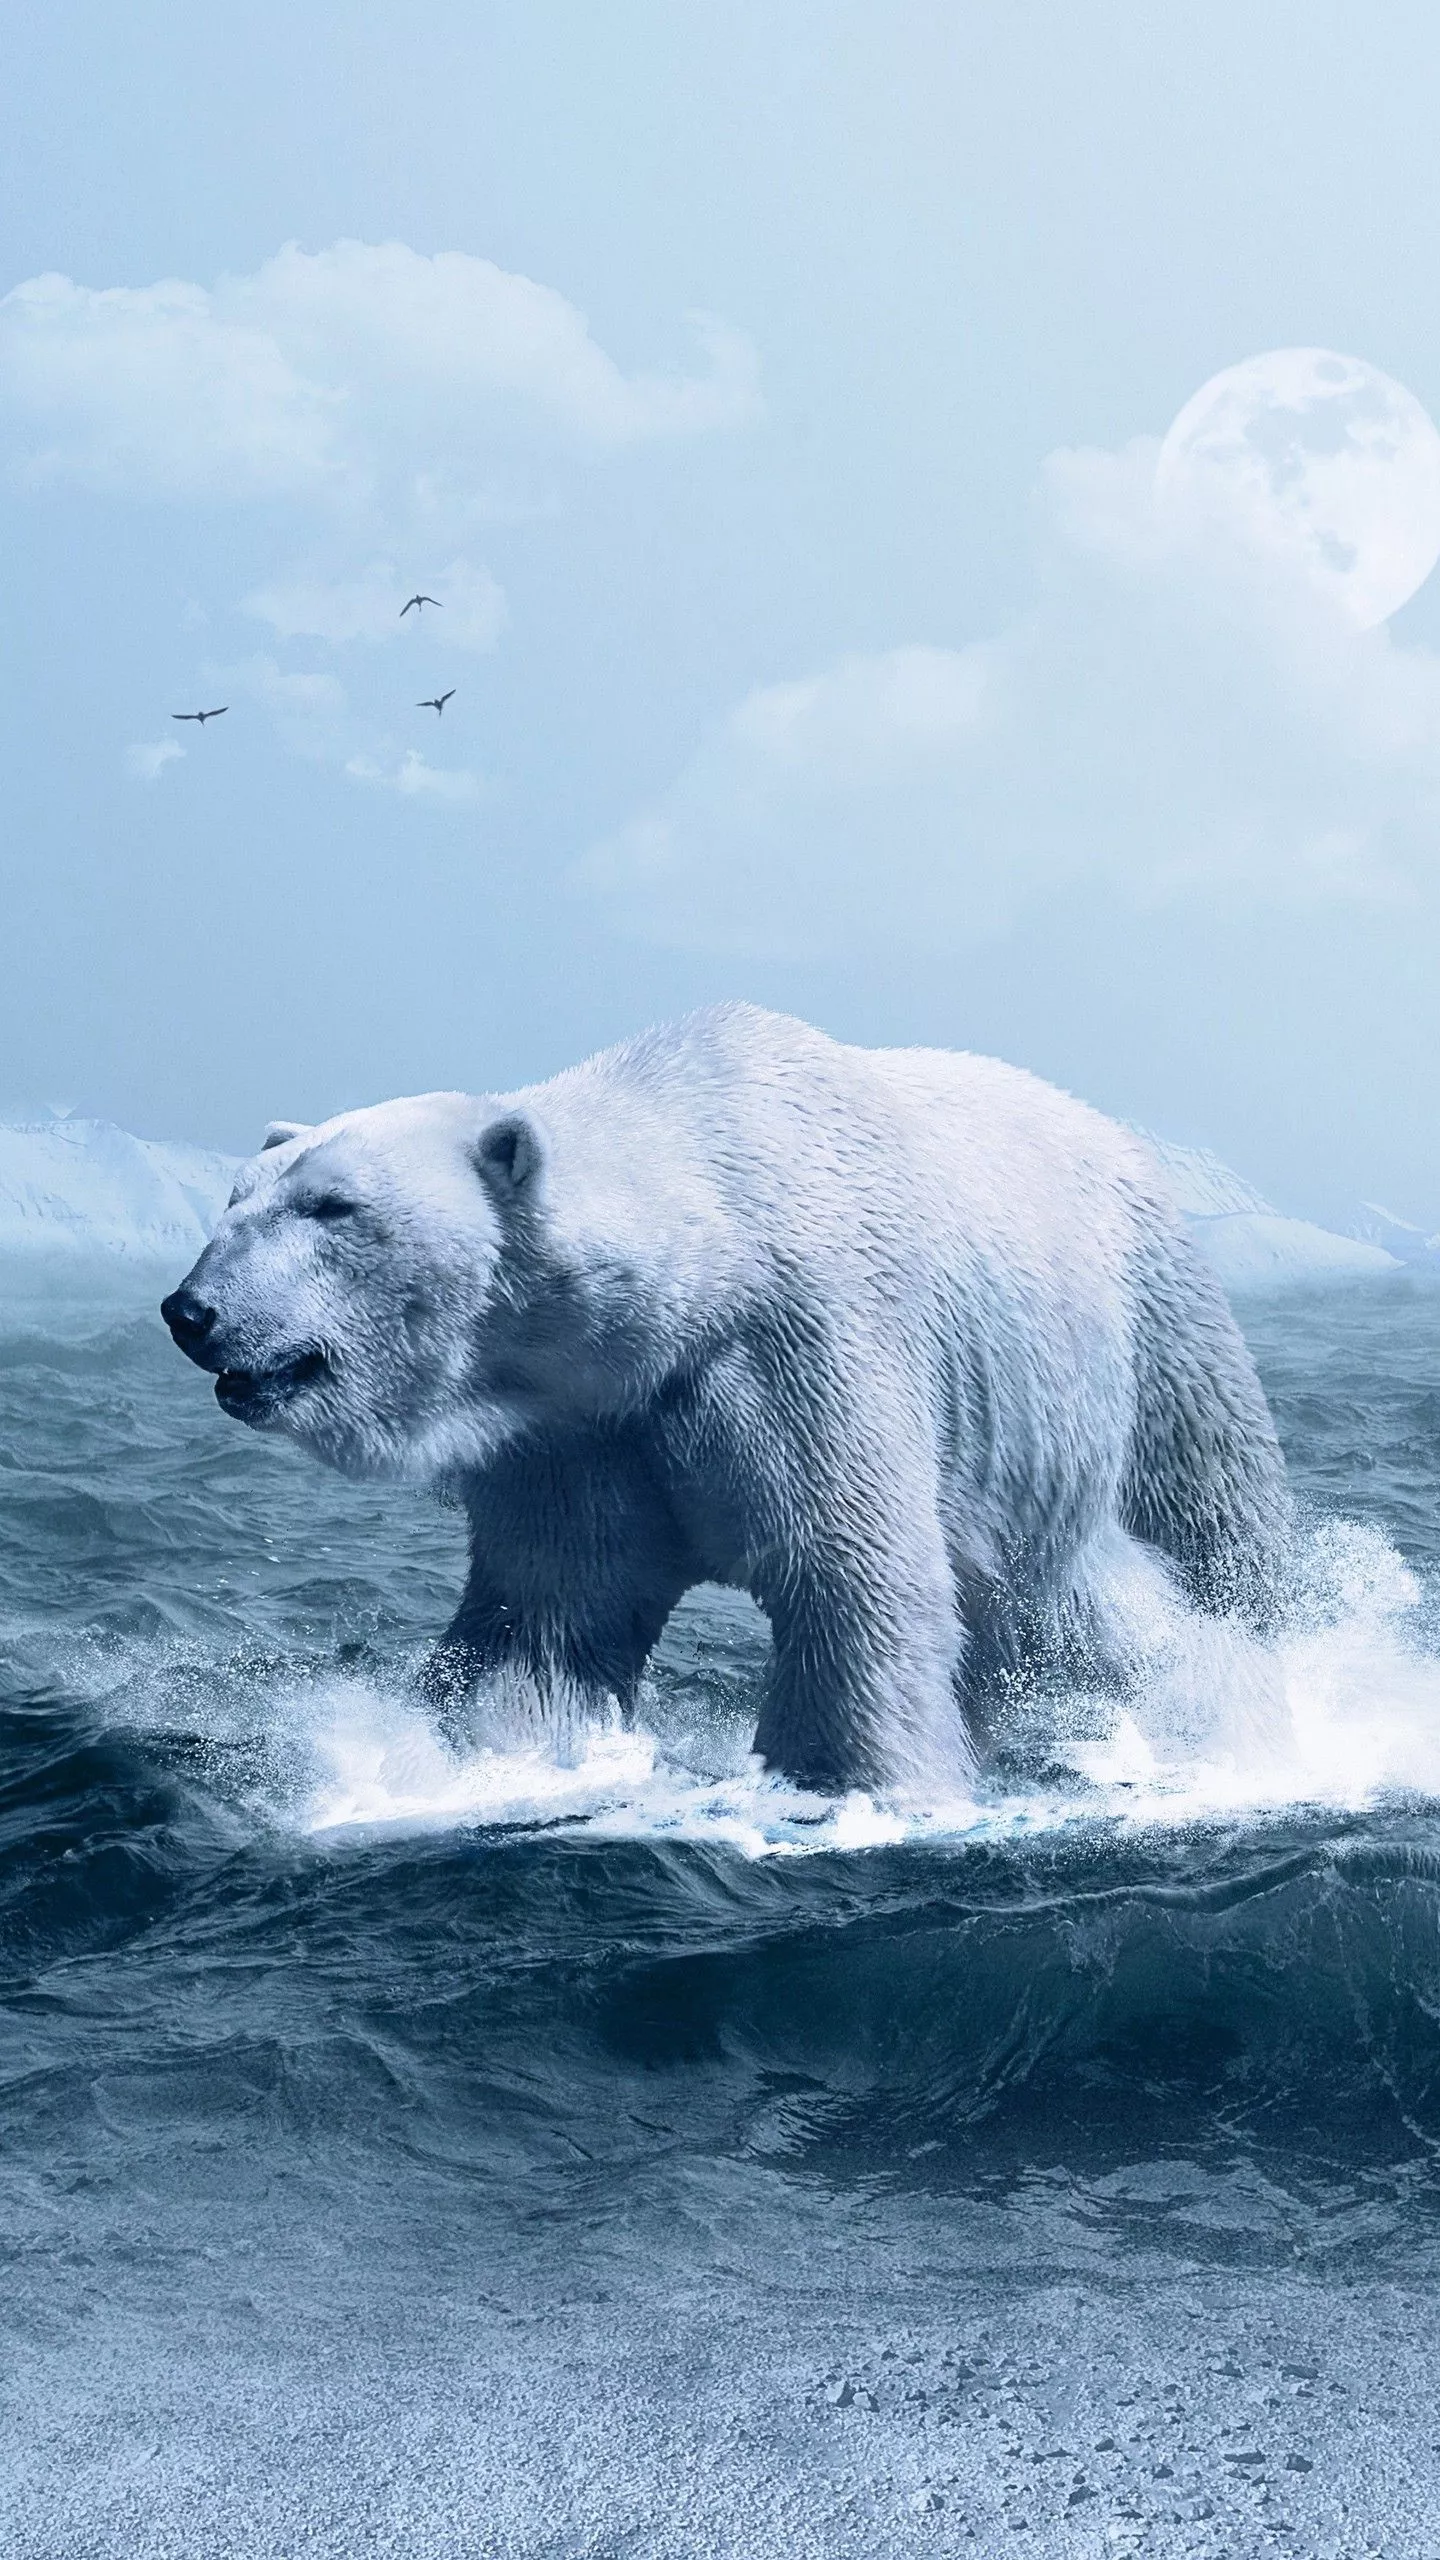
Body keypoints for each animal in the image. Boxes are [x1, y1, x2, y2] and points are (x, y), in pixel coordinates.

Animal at [161, 1004, 1289, 1795]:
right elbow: (549, 1611)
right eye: (236, 1198)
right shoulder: (581, 1427)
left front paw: (850, 1782)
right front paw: (483, 1751)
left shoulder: (803, 1345)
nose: (190, 1310)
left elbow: (849, 1572)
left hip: (1147, 1327)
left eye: (332, 1206)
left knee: (1198, 1525)